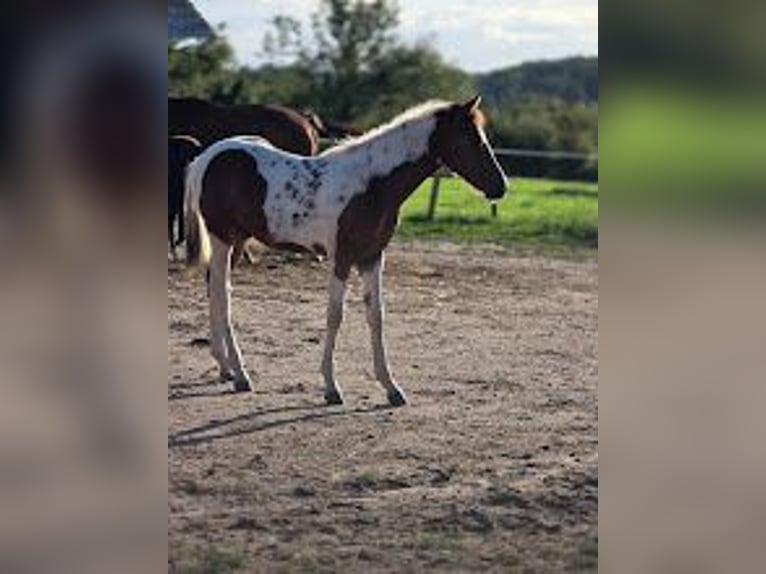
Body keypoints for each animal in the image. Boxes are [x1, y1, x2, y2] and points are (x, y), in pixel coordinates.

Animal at [184, 96, 507, 407]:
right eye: (471, 139)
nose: (501, 187)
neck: (372, 184)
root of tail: (206, 157)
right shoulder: (342, 257)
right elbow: (335, 315)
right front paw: (331, 387)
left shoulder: (372, 257)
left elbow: (376, 315)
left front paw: (391, 387)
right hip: (222, 238)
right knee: (222, 293)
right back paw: (240, 374)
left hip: (237, 240)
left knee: (215, 287)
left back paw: (225, 368)